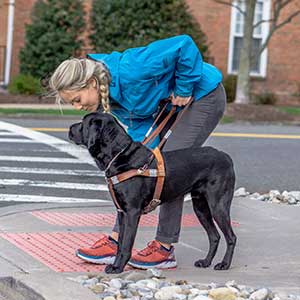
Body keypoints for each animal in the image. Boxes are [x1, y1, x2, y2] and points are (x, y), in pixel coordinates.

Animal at [69, 111, 237, 274]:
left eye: (84, 122)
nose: (70, 128)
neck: (119, 155)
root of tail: (225, 156)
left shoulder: (132, 212)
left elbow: (126, 244)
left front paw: (118, 268)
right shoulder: (122, 212)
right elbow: (120, 242)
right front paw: (116, 264)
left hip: (218, 206)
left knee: (231, 237)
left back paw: (224, 264)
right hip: (200, 207)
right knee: (214, 236)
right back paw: (206, 261)